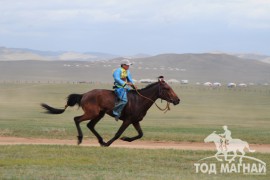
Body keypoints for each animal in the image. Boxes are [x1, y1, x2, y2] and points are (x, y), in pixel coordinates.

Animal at [41, 77, 179, 146]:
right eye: (167, 88)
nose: (177, 100)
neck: (139, 100)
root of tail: (84, 94)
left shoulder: (135, 121)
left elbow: (140, 134)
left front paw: (126, 139)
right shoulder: (128, 120)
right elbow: (118, 133)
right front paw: (109, 143)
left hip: (99, 114)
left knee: (90, 125)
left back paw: (100, 141)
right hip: (92, 113)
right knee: (77, 119)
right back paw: (81, 139)